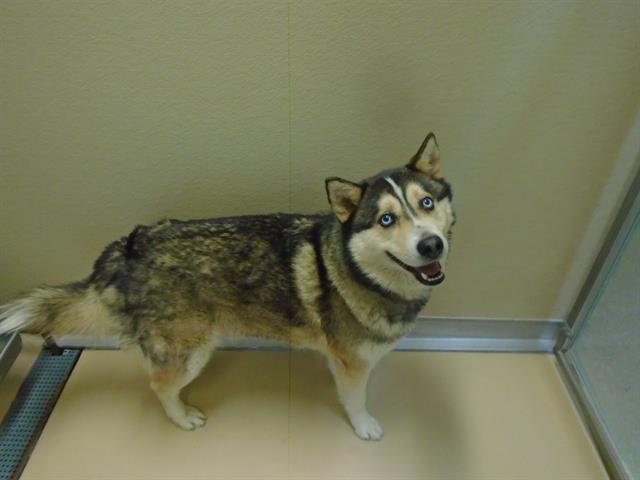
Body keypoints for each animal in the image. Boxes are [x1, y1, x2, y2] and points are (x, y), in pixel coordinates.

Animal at [0, 131, 456, 438]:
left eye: (426, 203)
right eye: (386, 219)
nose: (431, 244)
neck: (362, 272)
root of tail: (128, 247)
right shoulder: (352, 363)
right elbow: (355, 400)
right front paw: (364, 425)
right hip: (191, 350)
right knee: (158, 384)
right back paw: (182, 416)